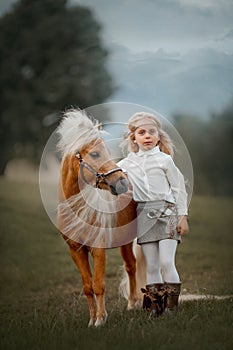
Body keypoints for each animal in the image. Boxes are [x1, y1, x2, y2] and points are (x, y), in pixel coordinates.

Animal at [56, 108, 140, 326]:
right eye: (95, 153)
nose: (121, 183)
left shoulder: (98, 249)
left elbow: (99, 285)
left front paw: (100, 320)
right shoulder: (76, 251)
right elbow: (87, 286)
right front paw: (92, 319)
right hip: (125, 242)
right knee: (131, 266)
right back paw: (132, 303)